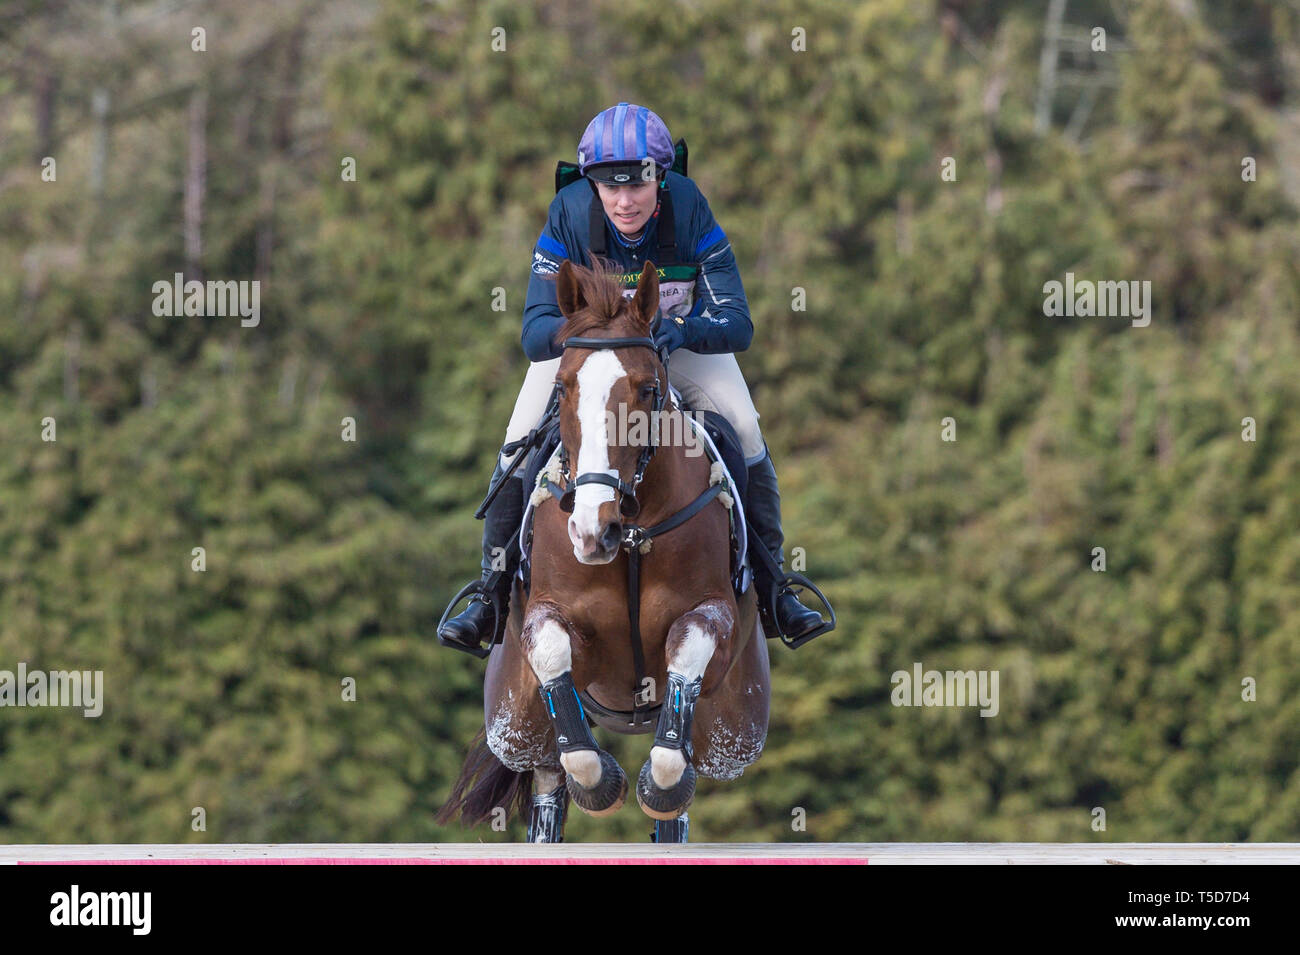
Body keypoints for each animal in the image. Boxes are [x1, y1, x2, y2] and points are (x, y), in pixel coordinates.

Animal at [439, 259, 769, 841]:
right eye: (562, 387)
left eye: (646, 389)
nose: (594, 530)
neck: (633, 535)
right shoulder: (553, 621)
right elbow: (555, 662)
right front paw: (602, 783)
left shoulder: (715, 617)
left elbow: (687, 666)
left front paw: (656, 784)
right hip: (516, 723)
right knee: (549, 774)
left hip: (736, 729)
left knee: (681, 786)